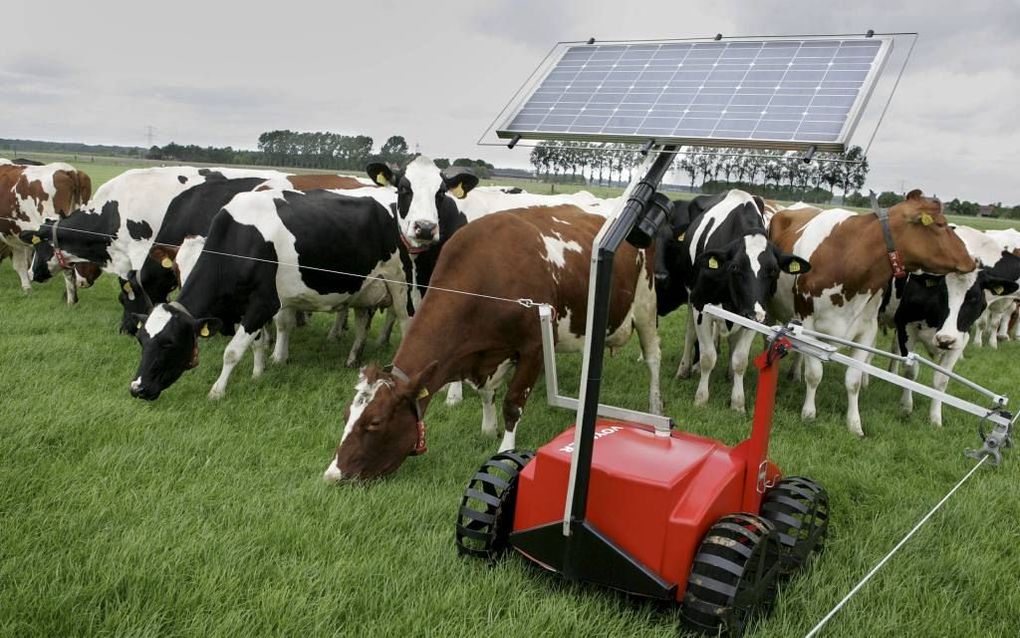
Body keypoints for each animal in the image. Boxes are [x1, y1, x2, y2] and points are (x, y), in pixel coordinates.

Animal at [0, 158, 97, 300]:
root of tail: (70, 171)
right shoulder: (14, 238)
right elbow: (20, 264)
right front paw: (27, 289)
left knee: (68, 268)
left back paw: (70, 300)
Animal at [128, 181, 473, 402]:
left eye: (170, 343)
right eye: (142, 340)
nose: (137, 388)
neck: (242, 239)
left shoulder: (264, 302)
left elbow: (234, 350)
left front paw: (217, 390)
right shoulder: (249, 305)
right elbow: (255, 342)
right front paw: (259, 372)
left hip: (406, 288)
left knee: (408, 326)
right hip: (366, 286)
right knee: (363, 321)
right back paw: (352, 359)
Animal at [322, 203, 665, 477]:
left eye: (375, 422)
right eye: (346, 416)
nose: (333, 475)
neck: (489, 273)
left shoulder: (533, 348)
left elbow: (512, 404)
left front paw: (504, 448)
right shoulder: (484, 352)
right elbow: (486, 393)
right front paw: (488, 429)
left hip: (646, 305)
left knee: (653, 359)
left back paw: (656, 408)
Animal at [673, 186, 807, 410]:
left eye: (773, 270)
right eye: (735, 267)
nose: (752, 313)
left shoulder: (755, 314)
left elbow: (740, 359)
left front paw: (737, 402)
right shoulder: (701, 306)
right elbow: (708, 356)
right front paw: (701, 398)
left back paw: (727, 374)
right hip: (692, 297)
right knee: (690, 333)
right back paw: (685, 368)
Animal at [771, 188, 979, 434]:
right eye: (940, 224)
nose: (972, 259)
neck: (849, 258)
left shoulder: (867, 328)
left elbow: (853, 379)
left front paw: (854, 423)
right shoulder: (808, 321)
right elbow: (814, 374)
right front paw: (809, 413)